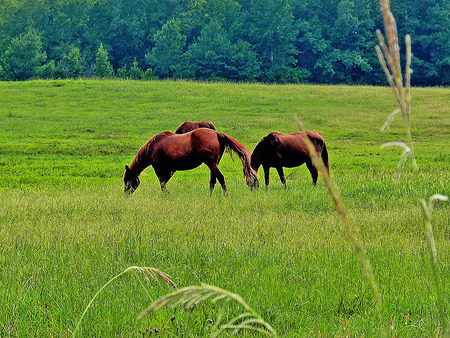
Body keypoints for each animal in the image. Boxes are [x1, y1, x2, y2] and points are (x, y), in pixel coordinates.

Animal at [123, 127, 258, 195]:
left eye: (126, 180)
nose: (126, 194)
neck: (153, 147)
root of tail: (217, 134)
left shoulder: (159, 168)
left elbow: (162, 183)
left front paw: (166, 195)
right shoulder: (170, 169)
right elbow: (164, 182)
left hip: (211, 164)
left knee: (220, 178)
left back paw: (225, 195)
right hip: (214, 164)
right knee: (213, 181)